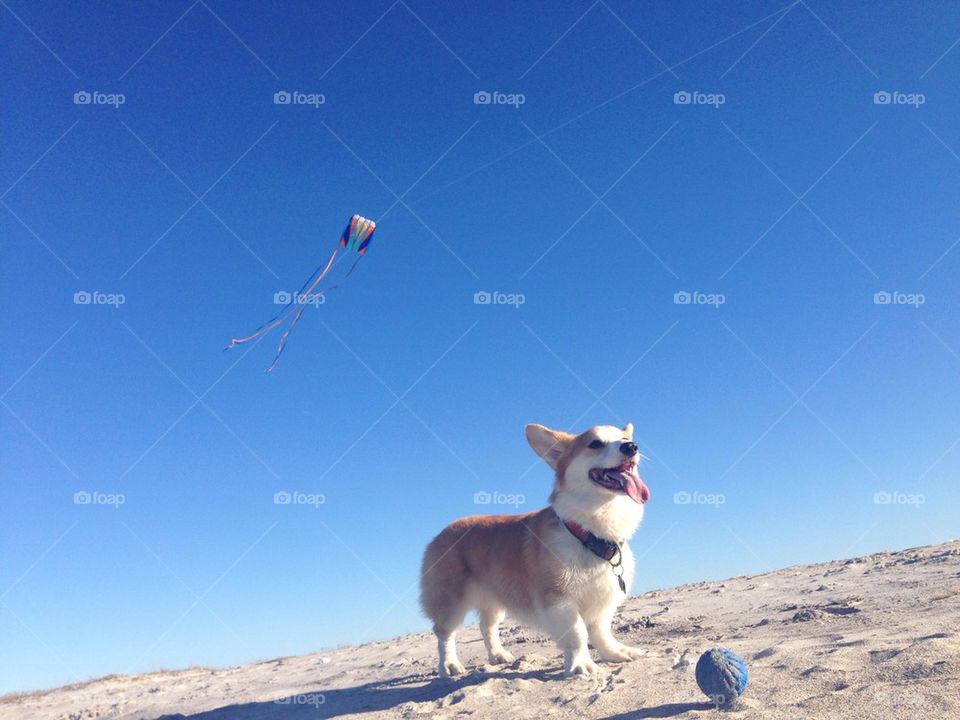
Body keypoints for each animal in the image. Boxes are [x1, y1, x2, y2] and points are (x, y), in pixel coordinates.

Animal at [420, 422, 652, 676]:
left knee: (486, 626)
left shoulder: (603, 600)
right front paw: (581, 664)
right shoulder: (558, 599)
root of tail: (442, 531)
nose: (631, 446)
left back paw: (498, 656)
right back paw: (449, 665)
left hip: (493, 598)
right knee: (444, 633)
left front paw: (616, 653)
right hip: (451, 601)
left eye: (624, 438)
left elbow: (602, 632)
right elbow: (578, 633)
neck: (589, 534)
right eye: (595, 444)